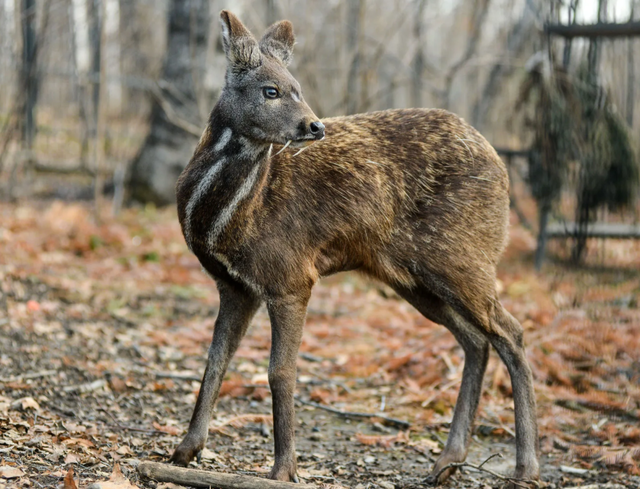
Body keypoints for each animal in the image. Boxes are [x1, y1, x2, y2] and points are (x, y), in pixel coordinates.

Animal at [170, 9, 540, 486]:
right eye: (271, 90)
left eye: (297, 87)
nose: (314, 126)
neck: (227, 219)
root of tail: (502, 167)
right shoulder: (235, 285)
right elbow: (215, 361)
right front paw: (185, 450)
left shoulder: (291, 276)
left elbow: (280, 371)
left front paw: (284, 469)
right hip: (414, 278)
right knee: (477, 340)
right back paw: (446, 462)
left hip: (462, 257)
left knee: (511, 332)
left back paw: (525, 466)